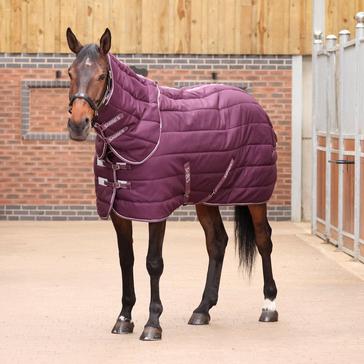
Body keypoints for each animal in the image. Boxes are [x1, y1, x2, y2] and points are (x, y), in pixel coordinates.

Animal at [65, 27, 278, 342]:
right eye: (70, 73)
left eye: (102, 76)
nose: (78, 124)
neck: (139, 124)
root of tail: (255, 106)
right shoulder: (119, 210)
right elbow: (126, 259)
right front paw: (124, 318)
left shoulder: (156, 208)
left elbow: (153, 262)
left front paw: (153, 323)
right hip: (206, 197)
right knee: (217, 242)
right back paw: (202, 310)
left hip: (255, 195)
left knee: (264, 239)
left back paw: (269, 306)